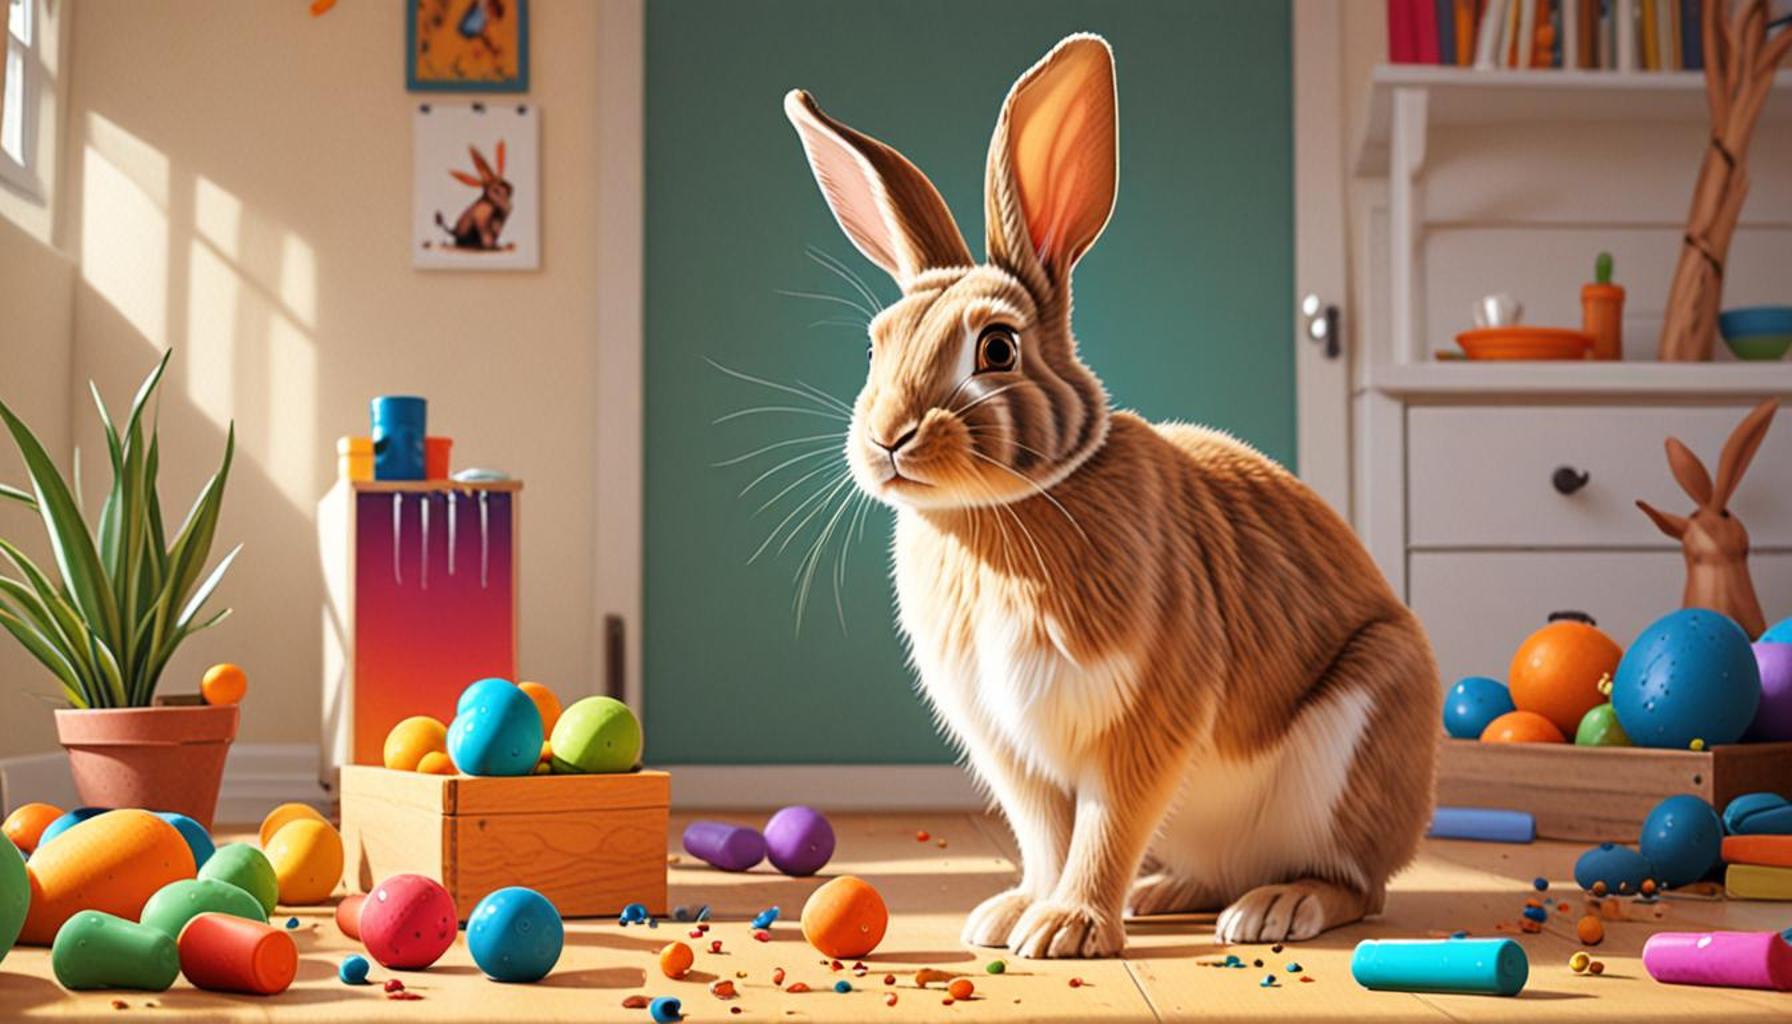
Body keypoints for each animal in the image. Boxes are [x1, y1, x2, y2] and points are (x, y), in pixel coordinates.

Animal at [783, 33, 1440, 959]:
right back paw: (1164, 895)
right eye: (877, 344)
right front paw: (1016, 915)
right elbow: (1045, 831)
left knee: (1358, 884)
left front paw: (1069, 927)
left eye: (996, 348)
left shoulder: (1149, 713)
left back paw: (1276, 909)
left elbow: (1107, 823)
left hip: (1361, 736)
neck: (1001, 513)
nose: (887, 439)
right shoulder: (1010, 745)